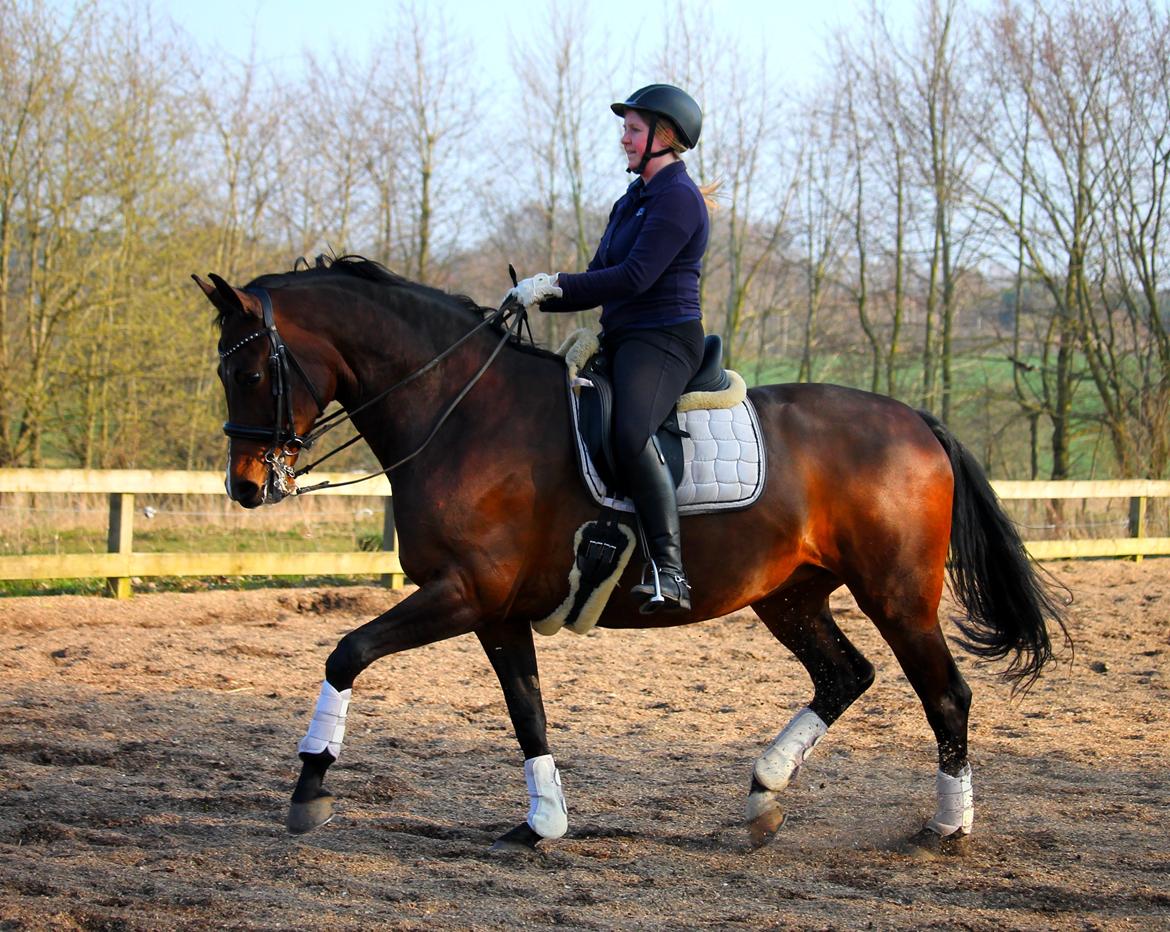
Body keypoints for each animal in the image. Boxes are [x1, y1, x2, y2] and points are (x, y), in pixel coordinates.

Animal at [196, 254, 1067, 851]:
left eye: (254, 368)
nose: (246, 485)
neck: (463, 411)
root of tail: (917, 420)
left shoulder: (462, 593)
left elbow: (347, 652)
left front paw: (310, 784)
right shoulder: (498, 611)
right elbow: (527, 710)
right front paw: (542, 823)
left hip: (897, 594)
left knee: (945, 695)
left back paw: (947, 827)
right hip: (791, 595)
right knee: (845, 676)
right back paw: (764, 794)